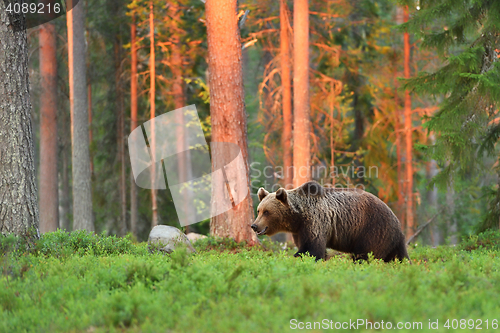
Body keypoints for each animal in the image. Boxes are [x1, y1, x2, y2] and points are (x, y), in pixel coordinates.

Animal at [250, 180, 410, 260]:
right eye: (259, 210)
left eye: (267, 212)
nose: (254, 226)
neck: (298, 217)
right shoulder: (300, 230)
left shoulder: (315, 221)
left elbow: (312, 249)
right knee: (396, 255)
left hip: (372, 228)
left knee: (366, 254)